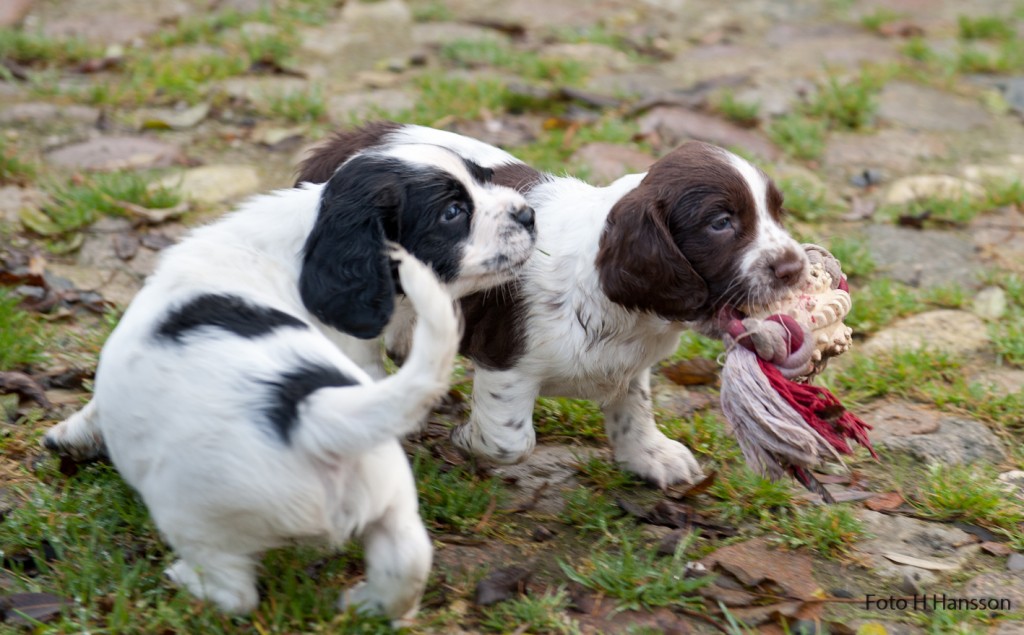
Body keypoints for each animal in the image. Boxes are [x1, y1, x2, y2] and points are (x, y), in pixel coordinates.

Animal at [39, 142, 536, 618]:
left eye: (483, 179)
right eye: (453, 212)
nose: (528, 214)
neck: (306, 238)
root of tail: (313, 416)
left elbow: (99, 402)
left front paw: (70, 435)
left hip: (194, 511)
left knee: (234, 591)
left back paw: (185, 582)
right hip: (389, 494)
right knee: (405, 562)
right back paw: (365, 606)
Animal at [294, 126, 806, 489]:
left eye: (777, 212)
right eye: (721, 223)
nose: (795, 266)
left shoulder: (630, 363)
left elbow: (632, 407)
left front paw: (650, 457)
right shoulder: (507, 363)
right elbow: (510, 440)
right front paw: (466, 439)